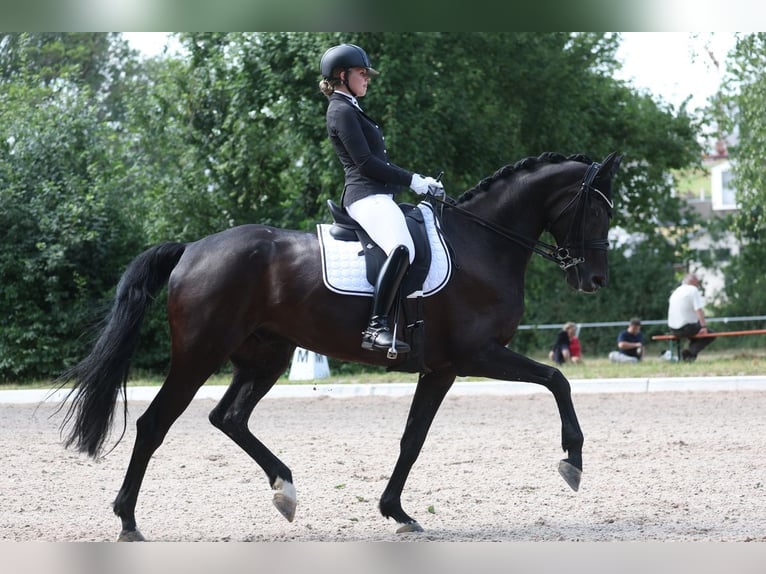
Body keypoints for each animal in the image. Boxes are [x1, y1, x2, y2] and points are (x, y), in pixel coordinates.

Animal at [58, 151, 624, 544]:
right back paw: (128, 520)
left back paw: (284, 490)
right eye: (596, 209)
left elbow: (412, 439)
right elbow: (557, 379)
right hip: (200, 355)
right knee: (155, 424)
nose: (595, 279)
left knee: (229, 417)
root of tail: (192, 249)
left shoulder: (440, 369)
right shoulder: (476, 355)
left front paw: (397, 512)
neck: (481, 245)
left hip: (264, 357)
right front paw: (572, 461)